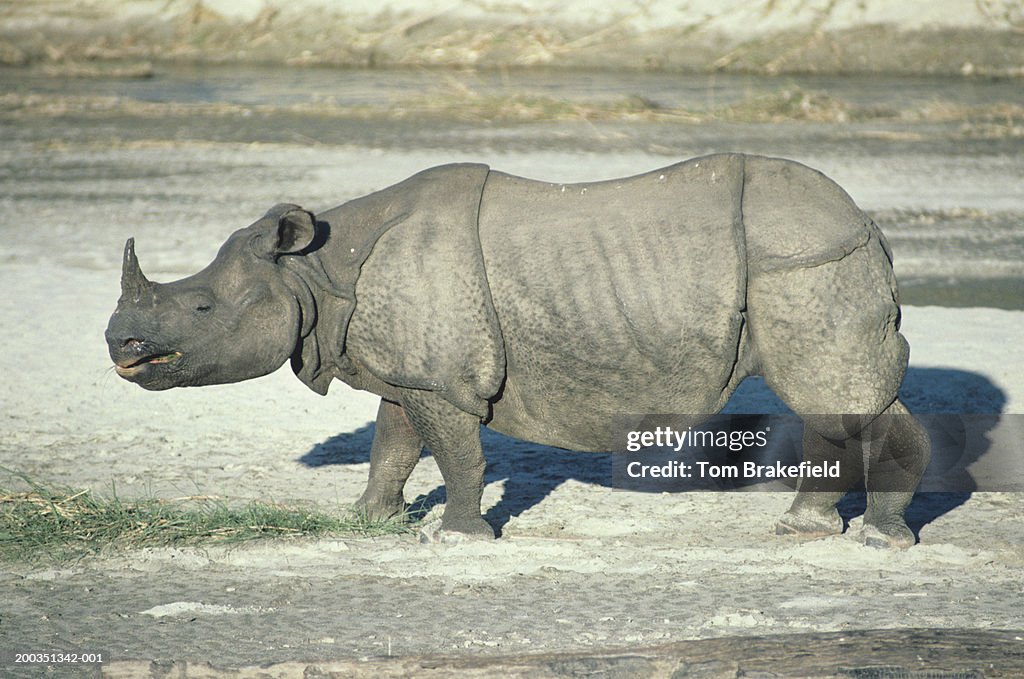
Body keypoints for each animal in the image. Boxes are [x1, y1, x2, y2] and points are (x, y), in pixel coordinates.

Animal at [108, 153, 933, 548]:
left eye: (202, 308)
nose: (120, 342)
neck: (316, 273)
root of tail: (868, 221)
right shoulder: (409, 370)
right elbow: (391, 445)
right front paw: (370, 521)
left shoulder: (441, 377)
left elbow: (458, 456)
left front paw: (456, 537)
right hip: (805, 254)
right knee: (829, 401)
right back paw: (805, 530)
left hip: (808, 259)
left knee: (837, 391)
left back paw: (881, 541)